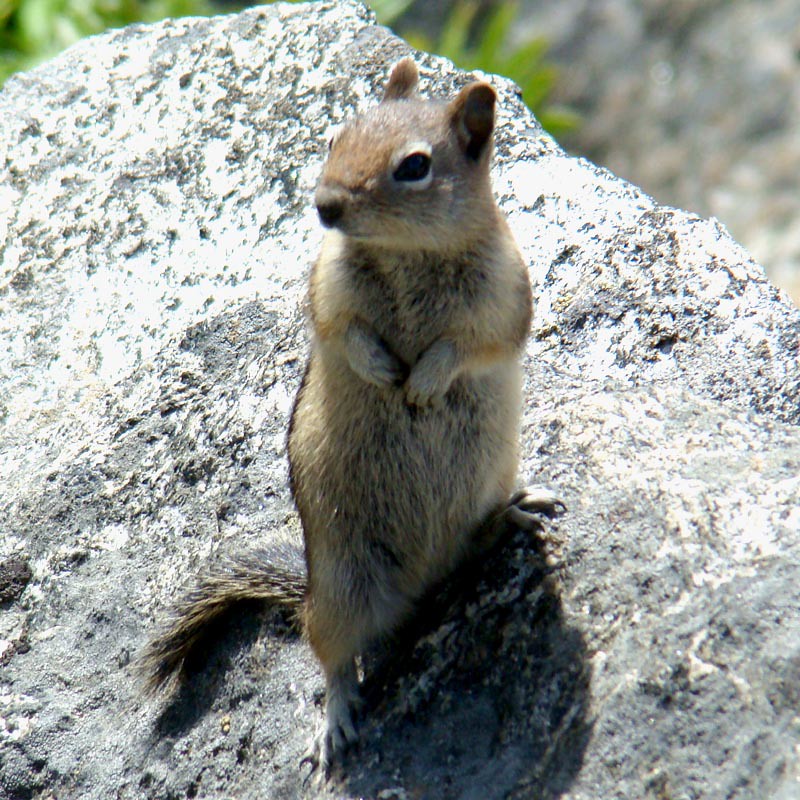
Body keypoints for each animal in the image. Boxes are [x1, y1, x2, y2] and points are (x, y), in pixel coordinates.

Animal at [140, 57, 561, 776]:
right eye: (338, 135)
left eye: (414, 166)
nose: (326, 205)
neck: (407, 252)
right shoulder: (328, 288)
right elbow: (343, 331)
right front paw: (382, 371)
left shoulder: (505, 294)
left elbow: (472, 344)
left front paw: (424, 379)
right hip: (344, 591)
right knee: (334, 659)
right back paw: (336, 721)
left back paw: (512, 512)